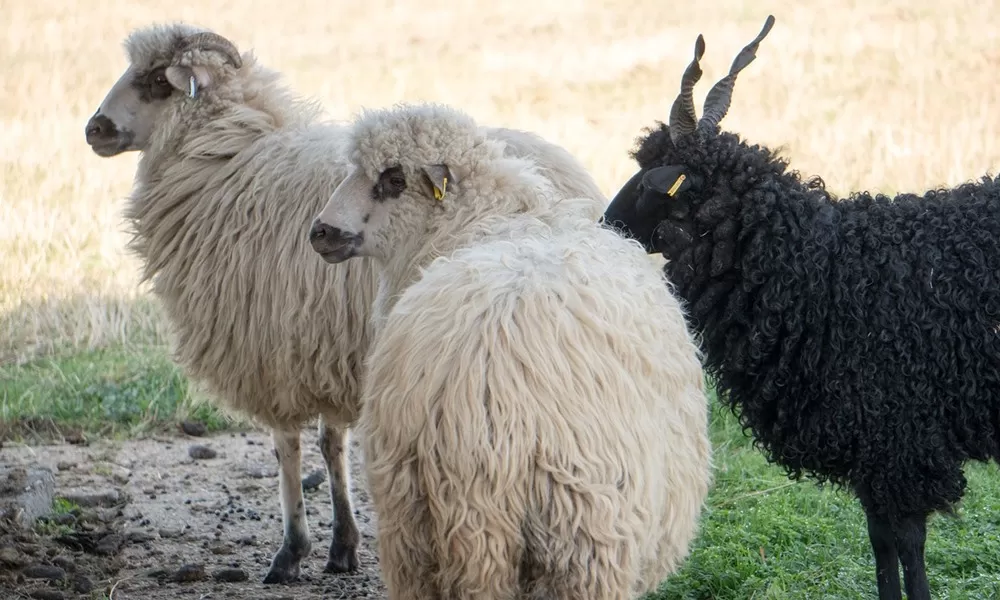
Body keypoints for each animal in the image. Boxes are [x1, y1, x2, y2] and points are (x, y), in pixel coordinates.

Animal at [84, 24, 608, 584]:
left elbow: (287, 446)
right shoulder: (322, 347)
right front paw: (342, 544)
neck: (228, 157)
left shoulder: (273, 348)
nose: (94, 129)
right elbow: (331, 443)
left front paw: (292, 550)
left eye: (158, 81)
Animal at [312, 103, 712, 600]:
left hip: (419, 533)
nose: (320, 231)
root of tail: (475, 393)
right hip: (578, 536)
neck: (485, 221)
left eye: (394, 179)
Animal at [600, 14, 1000, 600]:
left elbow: (908, 547)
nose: (603, 221)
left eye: (657, 178)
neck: (817, 266)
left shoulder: (901, 444)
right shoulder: (870, 449)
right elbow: (882, 545)